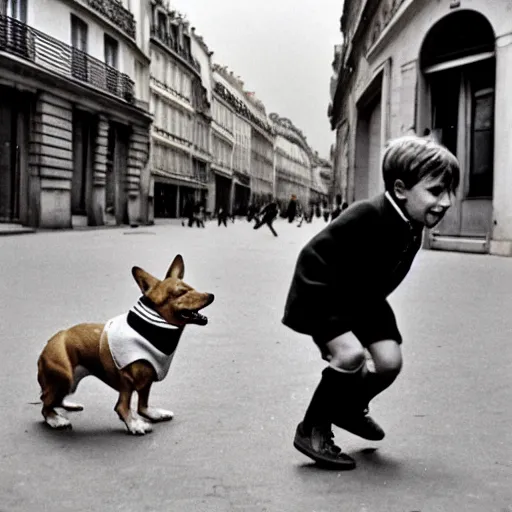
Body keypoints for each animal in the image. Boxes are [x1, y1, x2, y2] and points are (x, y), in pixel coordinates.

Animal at [37, 254, 214, 434]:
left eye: (193, 288)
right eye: (181, 293)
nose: (211, 295)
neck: (152, 331)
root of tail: (49, 342)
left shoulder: (147, 379)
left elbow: (143, 406)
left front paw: (154, 414)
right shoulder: (126, 382)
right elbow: (123, 407)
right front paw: (134, 425)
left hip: (70, 381)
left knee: (52, 399)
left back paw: (67, 405)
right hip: (65, 376)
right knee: (45, 403)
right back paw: (55, 419)